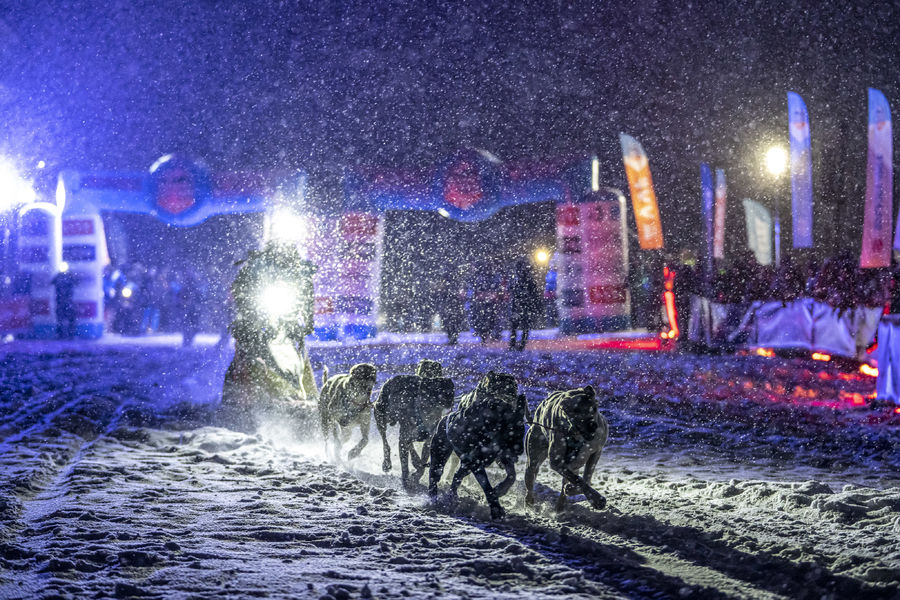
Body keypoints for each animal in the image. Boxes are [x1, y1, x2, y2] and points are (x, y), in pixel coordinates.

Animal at [428, 368, 528, 516]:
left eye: (522, 430)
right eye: (510, 430)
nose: (520, 450)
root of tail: (443, 419)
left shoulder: (501, 456)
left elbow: (511, 476)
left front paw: (500, 489)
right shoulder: (476, 463)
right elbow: (487, 486)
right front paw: (495, 508)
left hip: (465, 465)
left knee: (457, 476)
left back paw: (452, 496)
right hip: (441, 455)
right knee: (435, 476)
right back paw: (434, 499)